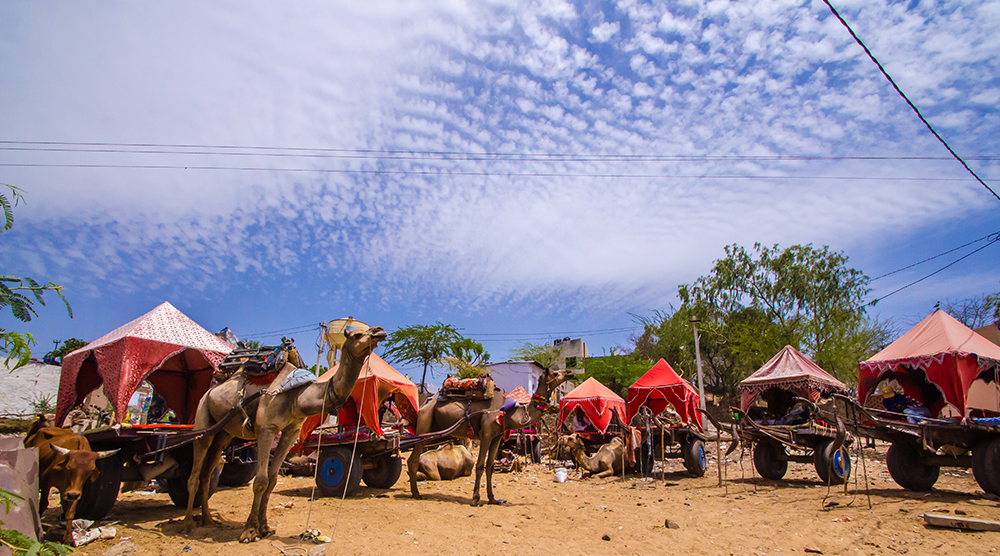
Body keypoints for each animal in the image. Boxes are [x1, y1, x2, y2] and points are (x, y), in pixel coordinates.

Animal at [182, 326, 384, 544]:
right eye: (357, 334)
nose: (380, 331)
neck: (299, 397)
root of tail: (212, 387)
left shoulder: (290, 433)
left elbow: (271, 480)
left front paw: (264, 528)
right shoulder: (266, 429)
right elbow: (261, 481)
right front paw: (249, 531)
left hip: (224, 433)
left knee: (207, 471)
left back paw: (208, 519)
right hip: (204, 417)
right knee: (195, 469)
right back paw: (188, 523)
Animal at [406, 368, 572, 506]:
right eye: (555, 373)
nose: (570, 372)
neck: (507, 412)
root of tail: (425, 403)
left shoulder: (496, 437)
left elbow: (490, 466)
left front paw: (492, 499)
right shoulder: (486, 435)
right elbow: (480, 466)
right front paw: (475, 499)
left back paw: (415, 492)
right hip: (424, 424)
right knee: (413, 459)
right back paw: (416, 494)